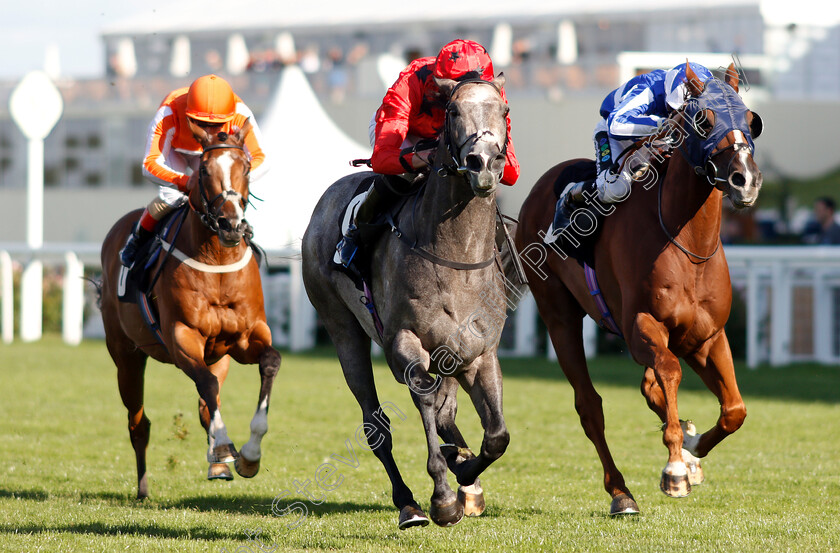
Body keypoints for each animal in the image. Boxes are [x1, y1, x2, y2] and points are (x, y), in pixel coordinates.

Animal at [96, 121, 278, 500]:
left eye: (246, 167)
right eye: (204, 170)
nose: (230, 225)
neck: (217, 261)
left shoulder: (246, 337)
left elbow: (269, 362)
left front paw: (249, 455)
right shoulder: (181, 337)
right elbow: (206, 384)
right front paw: (223, 447)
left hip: (219, 356)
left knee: (206, 404)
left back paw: (219, 466)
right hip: (126, 356)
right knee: (139, 422)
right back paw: (143, 488)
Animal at [302, 75, 512, 528]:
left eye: (503, 110)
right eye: (453, 110)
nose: (483, 163)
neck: (457, 255)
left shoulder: (480, 353)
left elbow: (497, 435)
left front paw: (464, 470)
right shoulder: (403, 341)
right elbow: (426, 400)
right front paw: (443, 496)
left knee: (449, 415)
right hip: (342, 330)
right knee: (376, 425)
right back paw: (409, 503)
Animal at [516, 62, 764, 516]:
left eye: (751, 119)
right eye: (705, 120)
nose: (746, 180)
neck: (687, 243)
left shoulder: (707, 336)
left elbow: (734, 410)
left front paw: (691, 448)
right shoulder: (641, 326)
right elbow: (669, 372)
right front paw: (676, 468)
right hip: (558, 314)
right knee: (589, 405)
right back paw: (621, 493)